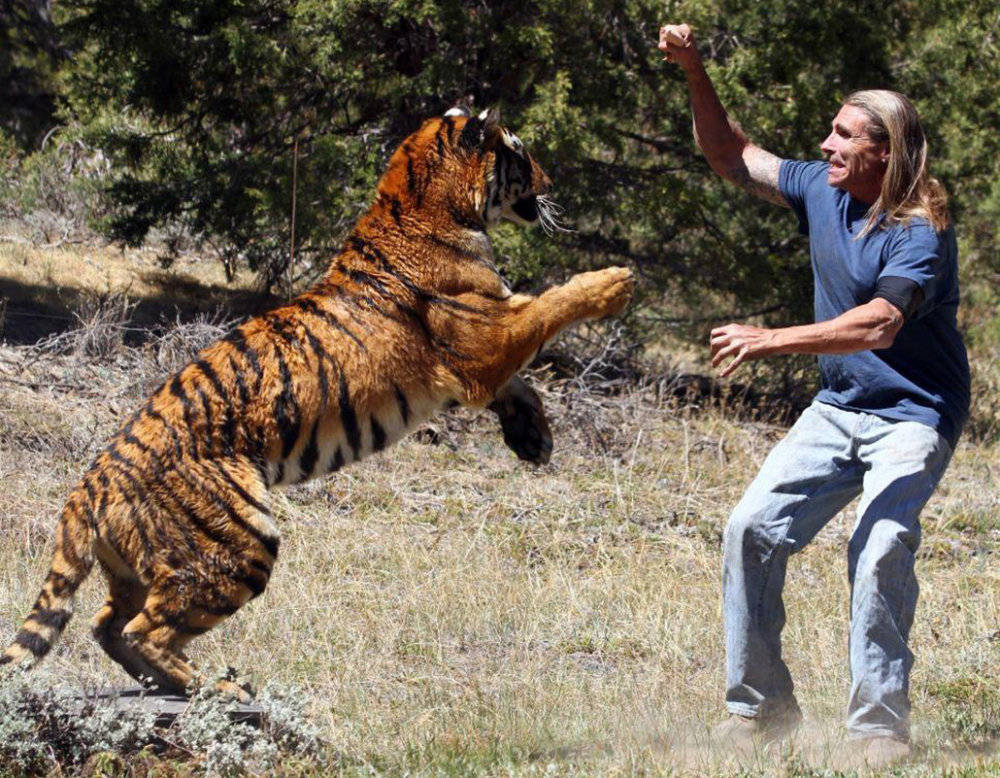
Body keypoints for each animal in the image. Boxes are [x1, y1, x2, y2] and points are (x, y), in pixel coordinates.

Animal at [1, 104, 632, 696]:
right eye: (520, 152)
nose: (552, 181)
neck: (422, 200)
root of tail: (89, 485)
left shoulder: (482, 354)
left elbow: (523, 380)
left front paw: (533, 438)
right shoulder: (486, 338)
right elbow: (549, 305)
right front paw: (614, 281)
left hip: (136, 569)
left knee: (106, 624)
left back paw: (180, 685)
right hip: (241, 542)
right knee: (143, 631)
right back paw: (218, 689)